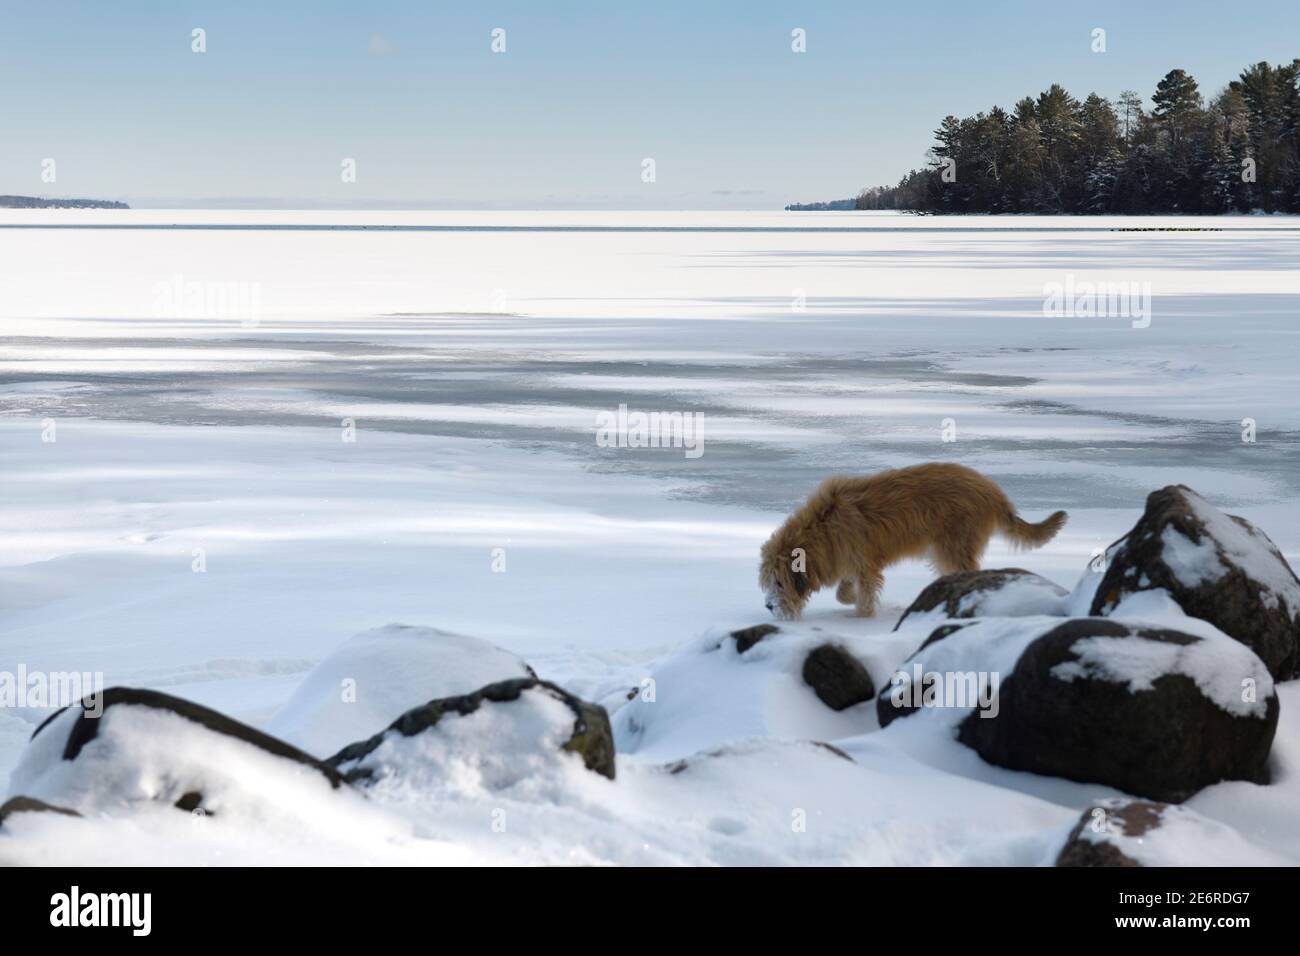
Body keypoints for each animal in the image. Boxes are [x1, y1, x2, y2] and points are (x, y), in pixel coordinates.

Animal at [759, 463, 1066, 621]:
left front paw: (861, 616)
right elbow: (844, 589)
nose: (769, 607)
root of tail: (993, 492)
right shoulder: (849, 559)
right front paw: (849, 599)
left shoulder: (865, 563)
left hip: (953, 546)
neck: (821, 527)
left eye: (779, 582)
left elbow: (864, 592)